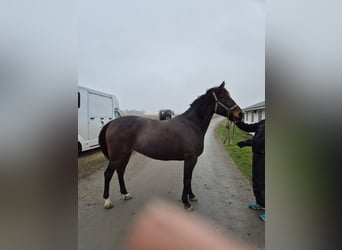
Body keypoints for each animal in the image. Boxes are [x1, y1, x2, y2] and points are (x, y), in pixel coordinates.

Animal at [99, 81, 243, 210]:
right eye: (223, 97)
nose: (240, 114)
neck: (192, 125)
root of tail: (112, 123)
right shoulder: (190, 158)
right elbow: (186, 179)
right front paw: (186, 202)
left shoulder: (193, 159)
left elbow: (190, 178)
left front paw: (191, 196)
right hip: (117, 156)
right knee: (108, 174)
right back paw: (107, 201)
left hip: (126, 154)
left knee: (120, 171)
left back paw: (125, 194)